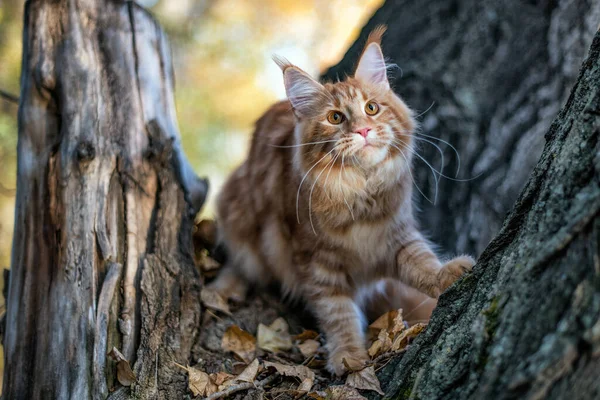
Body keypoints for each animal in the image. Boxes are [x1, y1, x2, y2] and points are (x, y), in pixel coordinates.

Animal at [211, 25, 474, 376]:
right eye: (335, 118)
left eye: (372, 108)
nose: (363, 130)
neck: (359, 192)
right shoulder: (317, 263)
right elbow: (339, 314)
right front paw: (349, 355)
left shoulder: (396, 237)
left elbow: (422, 264)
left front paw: (446, 274)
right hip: (237, 214)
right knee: (240, 261)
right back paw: (226, 287)